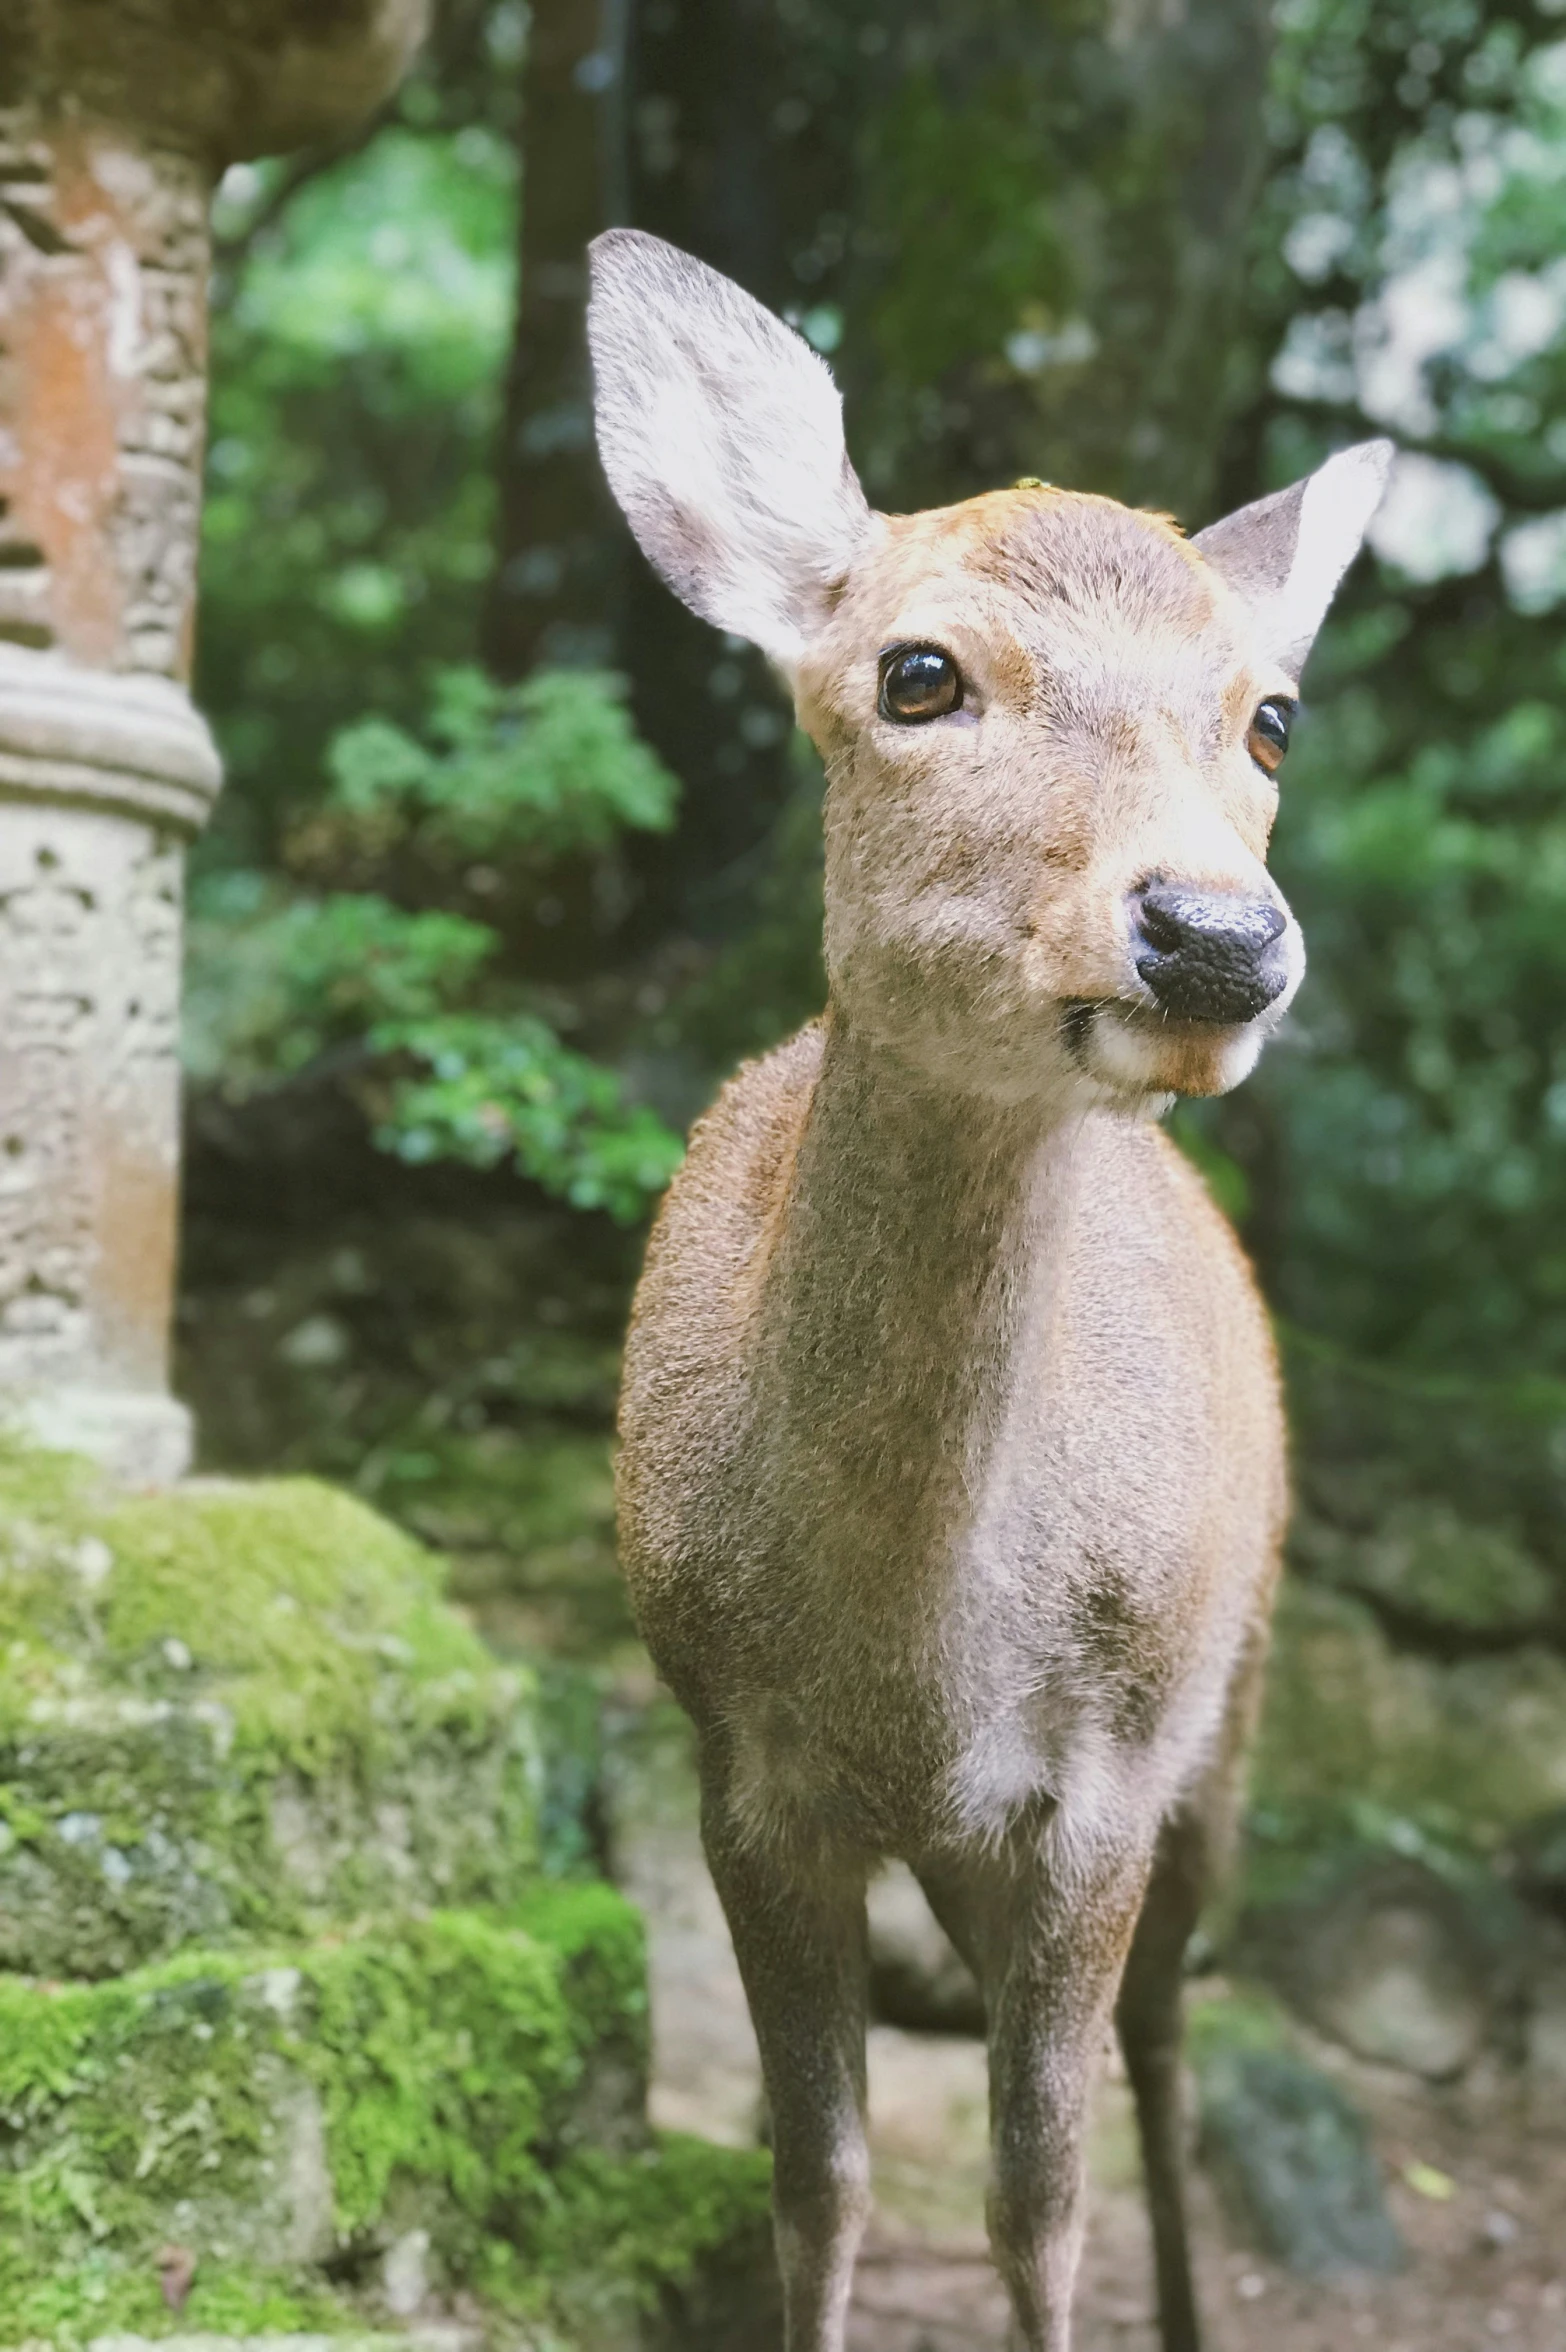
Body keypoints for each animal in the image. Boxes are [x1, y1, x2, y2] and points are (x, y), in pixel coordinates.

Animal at [587, 229, 1392, 2352]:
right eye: (918, 672)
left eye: (1270, 716)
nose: (1215, 934)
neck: (908, 1650)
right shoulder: (737, 1759)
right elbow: (819, 2176)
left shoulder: (1104, 1768)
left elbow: (1040, 2193)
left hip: (1238, 1694)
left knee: (1171, 2039)